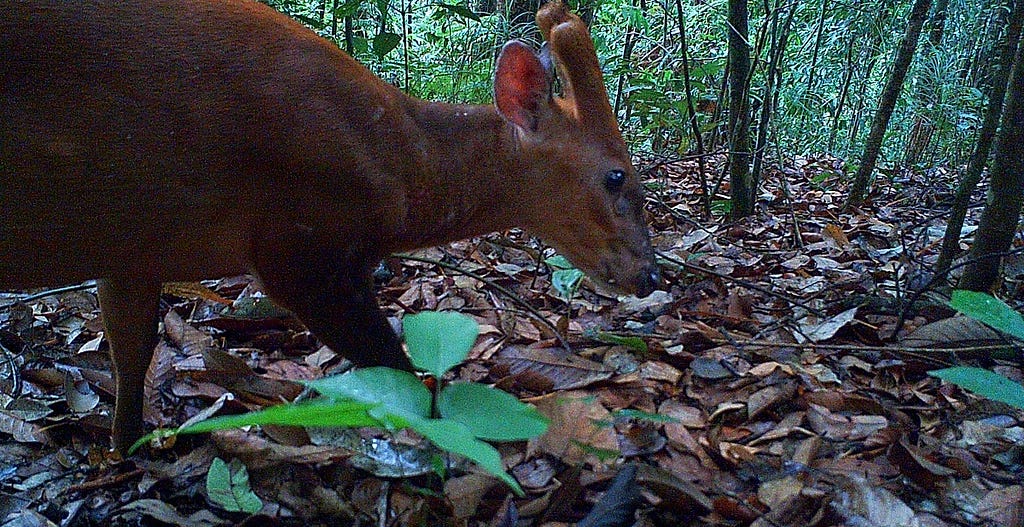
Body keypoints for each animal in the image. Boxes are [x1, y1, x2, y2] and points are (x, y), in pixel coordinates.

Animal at [0, 1, 659, 454]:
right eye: (617, 176)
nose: (649, 276)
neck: (402, 171)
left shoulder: (131, 245)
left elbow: (129, 353)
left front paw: (126, 452)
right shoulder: (299, 241)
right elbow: (397, 370)